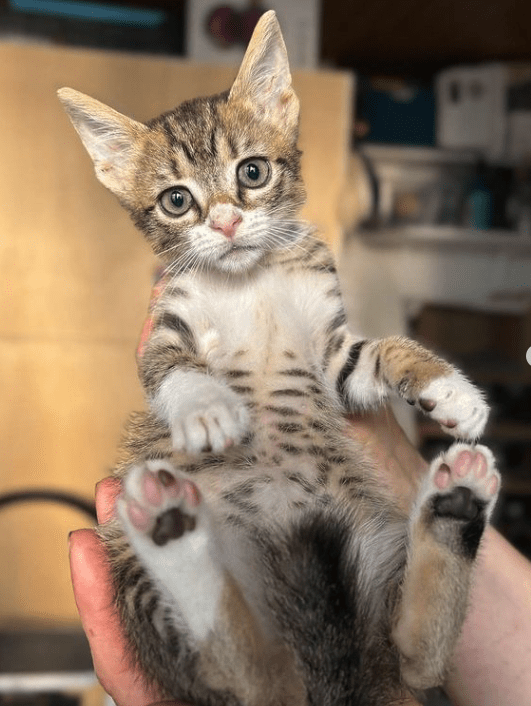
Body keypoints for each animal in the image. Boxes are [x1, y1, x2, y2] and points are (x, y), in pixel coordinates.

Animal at [60, 12, 500, 704]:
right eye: (177, 201)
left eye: (252, 172)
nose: (227, 223)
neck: (251, 278)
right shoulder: (167, 323)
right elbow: (172, 369)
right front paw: (207, 407)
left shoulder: (334, 354)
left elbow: (385, 351)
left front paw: (451, 389)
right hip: (142, 592)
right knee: (241, 669)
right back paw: (171, 531)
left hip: (377, 568)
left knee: (414, 660)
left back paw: (456, 505)